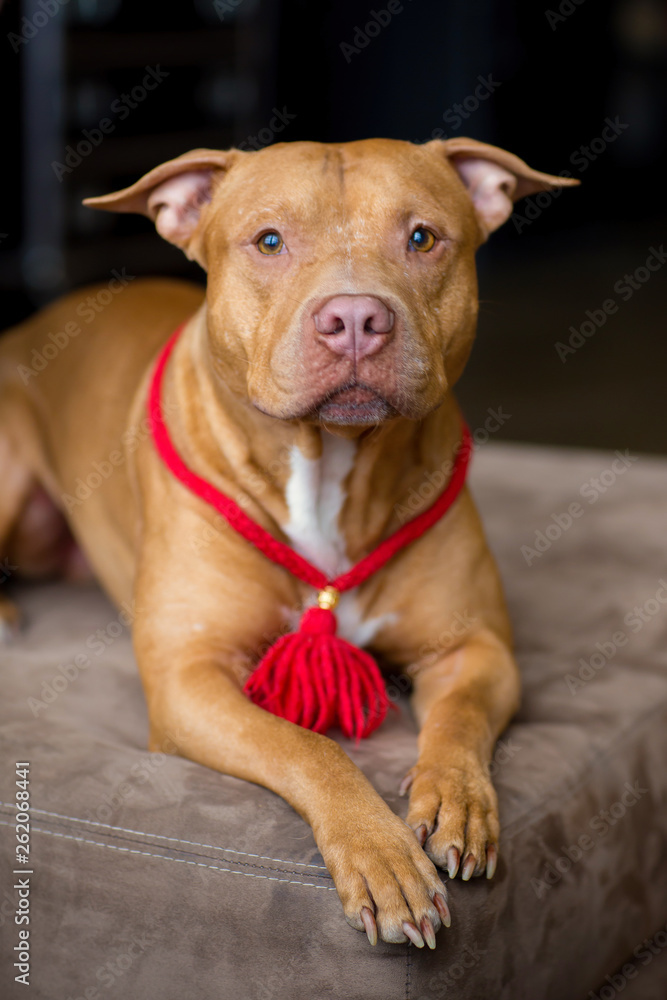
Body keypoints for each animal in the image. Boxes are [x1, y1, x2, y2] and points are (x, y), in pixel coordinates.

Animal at [0, 137, 576, 948]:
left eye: (422, 237)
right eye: (269, 241)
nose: (356, 316)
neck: (329, 463)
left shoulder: (476, 650)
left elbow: (459, 721)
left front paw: (456, 801)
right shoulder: (191, 680)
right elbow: (308, 746)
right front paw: (379, 854)